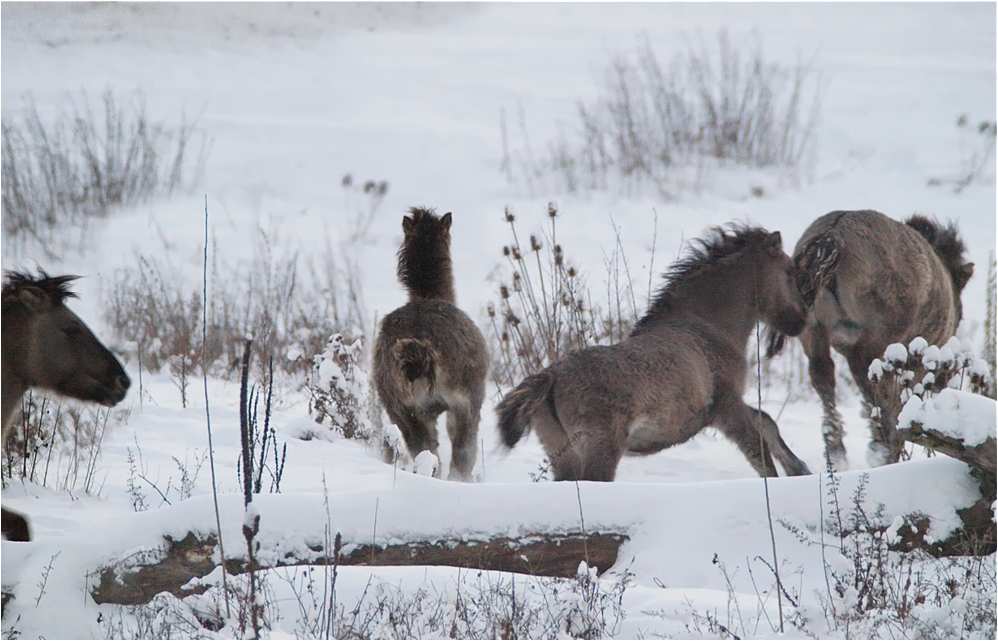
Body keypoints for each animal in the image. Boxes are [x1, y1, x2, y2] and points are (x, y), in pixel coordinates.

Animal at [496, 225, 816, 480]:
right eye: (789, 271)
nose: (801, 321)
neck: (708, 326)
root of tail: (551, 377)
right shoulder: (727, 406)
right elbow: (760, 454)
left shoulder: (721, 409)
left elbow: (766, 421)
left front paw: (800, 468)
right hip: (601, 448)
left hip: (562, 452)